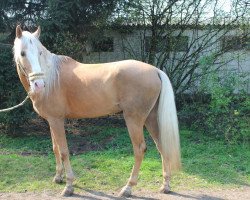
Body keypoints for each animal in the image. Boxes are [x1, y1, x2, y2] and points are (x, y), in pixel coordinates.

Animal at [13, 25, 181, 197]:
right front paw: (58, 177)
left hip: (134, 119)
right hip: (151, 118)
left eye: (39, 52)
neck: (52, 76)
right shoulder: (51, 121)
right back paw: (166, 185)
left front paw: (69, 186)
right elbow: (55, 148)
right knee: (162, 146)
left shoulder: (57, 120)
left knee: (140, 149)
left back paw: (128, 187)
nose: (39, 85)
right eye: (22, 53)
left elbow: (64, 151)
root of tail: (155, 70)